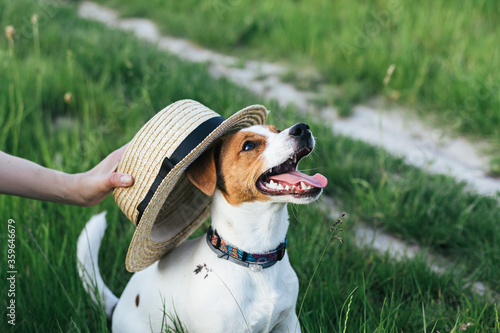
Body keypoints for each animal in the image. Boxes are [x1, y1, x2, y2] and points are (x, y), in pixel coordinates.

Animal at [76, 122, 328, 332]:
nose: (302, 128)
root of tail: (118, 306)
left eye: (277, 130)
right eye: (249, 145)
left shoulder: (288, 322)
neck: (254, 259)